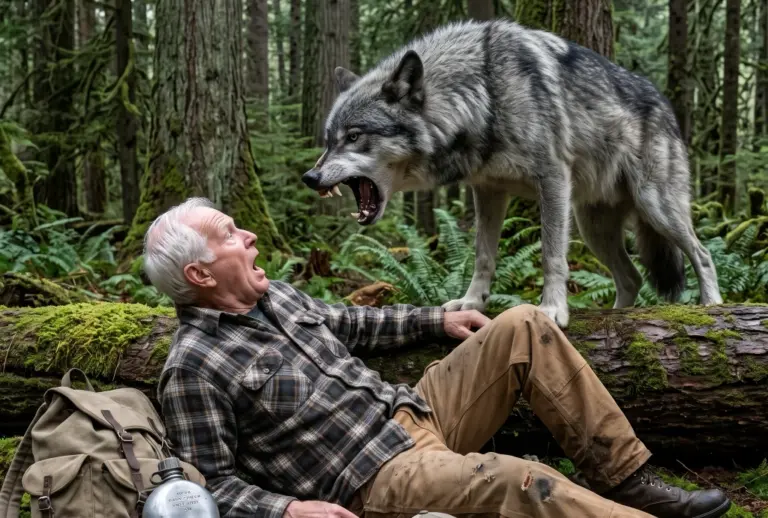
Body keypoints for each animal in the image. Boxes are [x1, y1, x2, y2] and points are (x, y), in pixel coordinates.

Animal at [301, 19, 723, 328]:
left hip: (654, 207)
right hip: (594, 230)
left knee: (702, 254)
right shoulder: (488, 192)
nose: (309, 178)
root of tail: (666, 104)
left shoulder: (552, 180)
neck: (483, 95)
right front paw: (472, 302)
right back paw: (618, 317)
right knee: (633, 277)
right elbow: (483, 255)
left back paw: (713, 307)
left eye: (354, 136)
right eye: (328, 140)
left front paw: (552, 309)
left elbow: (552, 256)